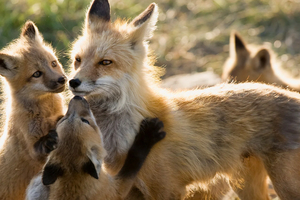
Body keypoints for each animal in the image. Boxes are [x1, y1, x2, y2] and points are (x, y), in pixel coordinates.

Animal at [0, 21, 66, 199]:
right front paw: (50, 138)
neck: (44, 113)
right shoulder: (31, 148)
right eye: (37, 74)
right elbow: (39, 148)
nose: (62, 79)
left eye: (53, 63)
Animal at [25, 96, 166, 199]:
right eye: (85, 121)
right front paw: (147, 136)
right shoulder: (117, 190)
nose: (76, 97)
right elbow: (134, 161)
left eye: (63, 120)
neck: (74, 178)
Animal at [69, 0, 300, 199]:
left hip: (284, 187)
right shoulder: (127, 188)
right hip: (245, 185)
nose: (72, 82)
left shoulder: (167, 188)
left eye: (105, 62)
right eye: (77, 60)